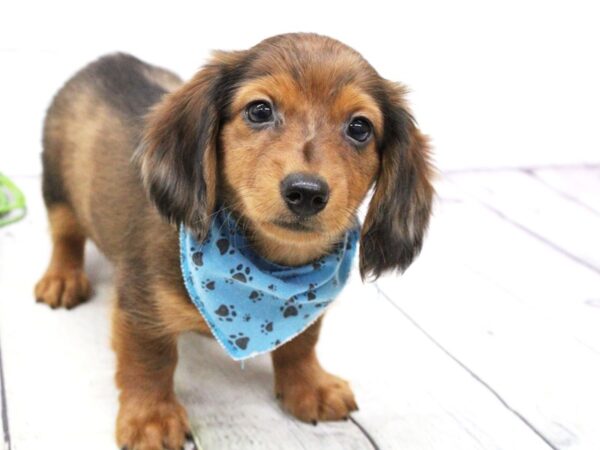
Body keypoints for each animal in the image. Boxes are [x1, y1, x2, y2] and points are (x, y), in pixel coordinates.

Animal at [35, 33, 434, 448]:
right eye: (259, 110)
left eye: (359, 128)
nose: (306, 193)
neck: (269, 267)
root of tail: (106, 60)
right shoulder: (141, 306)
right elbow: (150, 361)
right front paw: (151, 418)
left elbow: (302, 343)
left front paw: (308, 386)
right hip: (57, 190)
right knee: (65, 236)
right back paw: (62, 278)